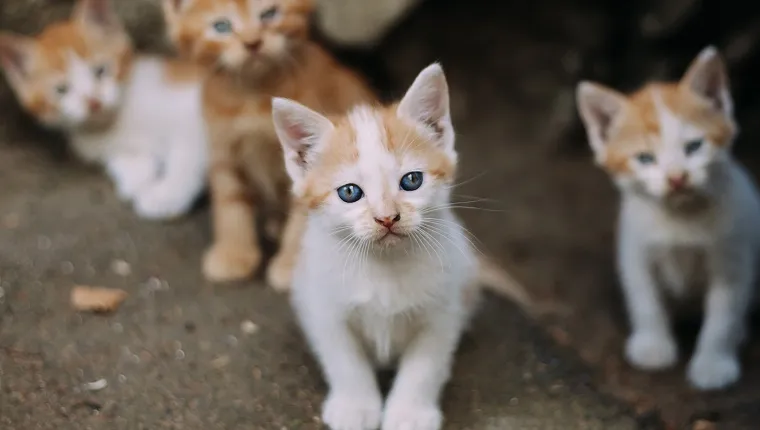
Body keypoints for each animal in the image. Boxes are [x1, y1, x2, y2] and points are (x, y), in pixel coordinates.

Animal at [0, 0, 208, 220]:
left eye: (100, 70)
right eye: (62, 89)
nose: (93, 101)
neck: (114, 121)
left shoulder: (196, 107)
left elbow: (186, 155)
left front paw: (166, 195)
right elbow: (124, 159)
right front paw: (136, 176)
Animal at [162, 0, 376, 288]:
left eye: (269, 14)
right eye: (221, 26)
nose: (252, 43)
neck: (253, 98)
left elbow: (302, 218)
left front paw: (292, 267)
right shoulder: (223, 151)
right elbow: (230, 203)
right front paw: (234, 254)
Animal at [274, 63, 528, 430]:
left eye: (412, 181)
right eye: (349, 192)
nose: (387, 218)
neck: (385, 266)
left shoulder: (443, 310)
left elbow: (425, 366)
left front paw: (410, 413)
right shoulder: (323, 305)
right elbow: (344, 359)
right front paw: (355, 406)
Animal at [576, 46, 760, 390]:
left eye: (695, 146)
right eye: (645, 158)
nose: (676, 178)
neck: (680, 217)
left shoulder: (733, 257)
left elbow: (724, 315)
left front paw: (713, 364)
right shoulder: (634, 248)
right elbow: (644, 298)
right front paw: (653, 346)